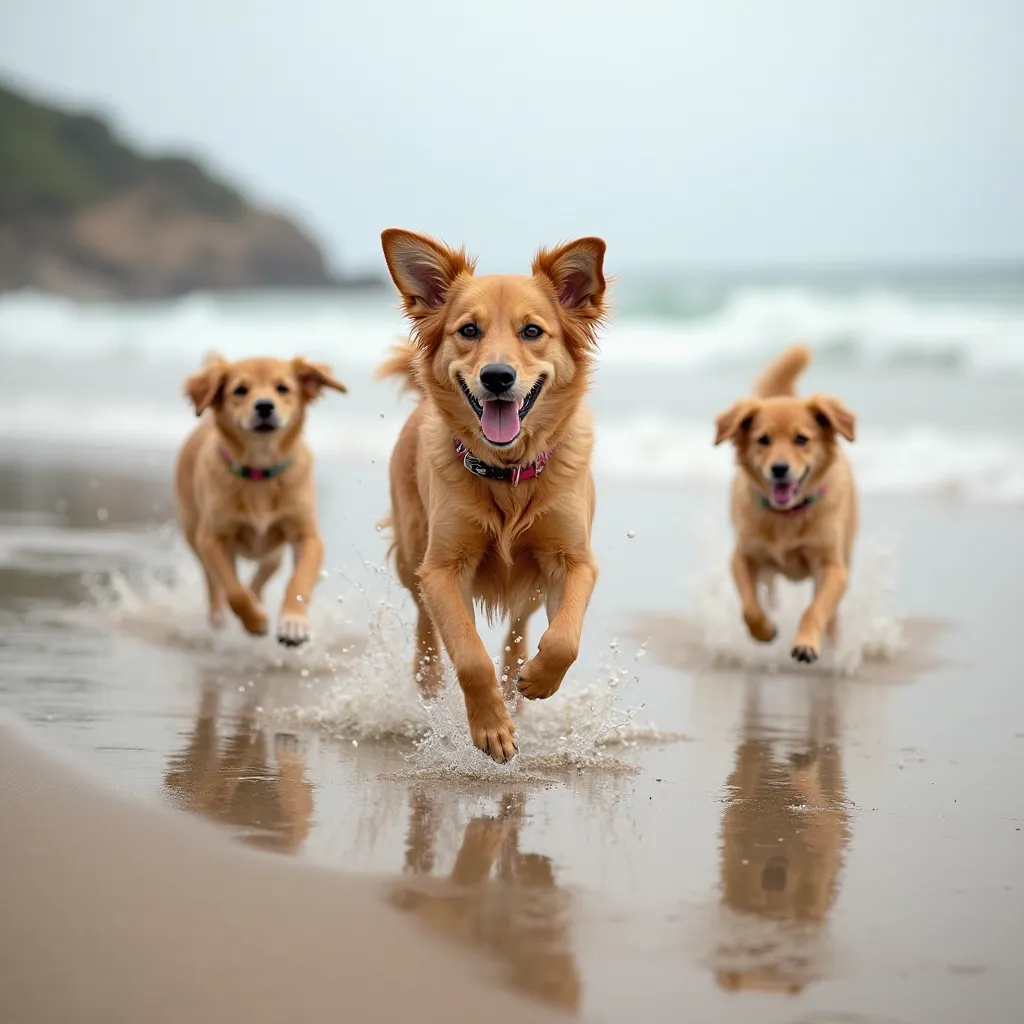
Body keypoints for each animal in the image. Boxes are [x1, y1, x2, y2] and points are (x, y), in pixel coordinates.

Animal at [177, 352, 348, 638]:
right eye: (240, 390)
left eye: (283, 388)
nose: (265, 406)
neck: (259, 472)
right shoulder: (212, 539)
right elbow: (233, 591)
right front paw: (254, 621)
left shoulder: (307, 536)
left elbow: (299, 580)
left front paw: (293, 621)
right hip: (195, 536)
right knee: (214, 582)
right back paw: (220, 616)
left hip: (273, 550)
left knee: (267, 569)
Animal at [380, 230, 610, 761]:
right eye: (468, 330)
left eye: (532, 331)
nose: (498, 376)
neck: (508, 476)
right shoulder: (442, 568)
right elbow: (468, 654)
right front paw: (491, 729)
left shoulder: (574, 560)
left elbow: (564, 638)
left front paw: (539, 680)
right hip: (411, 551)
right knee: (425, 618)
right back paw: (430, 678)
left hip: (532, 583)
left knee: (520, 625)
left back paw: (517, 680)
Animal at [712, 344, 856, 663]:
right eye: (763, 440)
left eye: (801, 439)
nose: (779, 469)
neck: (787, 516)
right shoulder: (742, 557)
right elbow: (750, 607)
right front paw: (764, 631)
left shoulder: (833, 567)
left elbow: (816, 609)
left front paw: (806, 644)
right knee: (768, 588)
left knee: (832, 614)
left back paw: (834, 645)